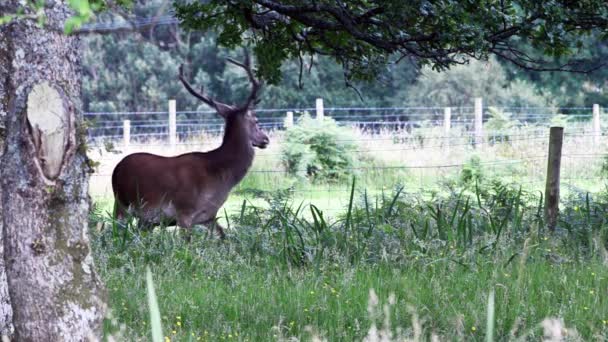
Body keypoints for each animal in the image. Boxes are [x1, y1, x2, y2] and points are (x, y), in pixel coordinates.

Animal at [112, 54, 268, 240]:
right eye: (257, 121)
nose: (265, 139)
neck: (219, 177)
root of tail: (116, 169)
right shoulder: (184, 211)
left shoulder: (208, 216)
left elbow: (224, 237)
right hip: (121, 203)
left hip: (145, 220)